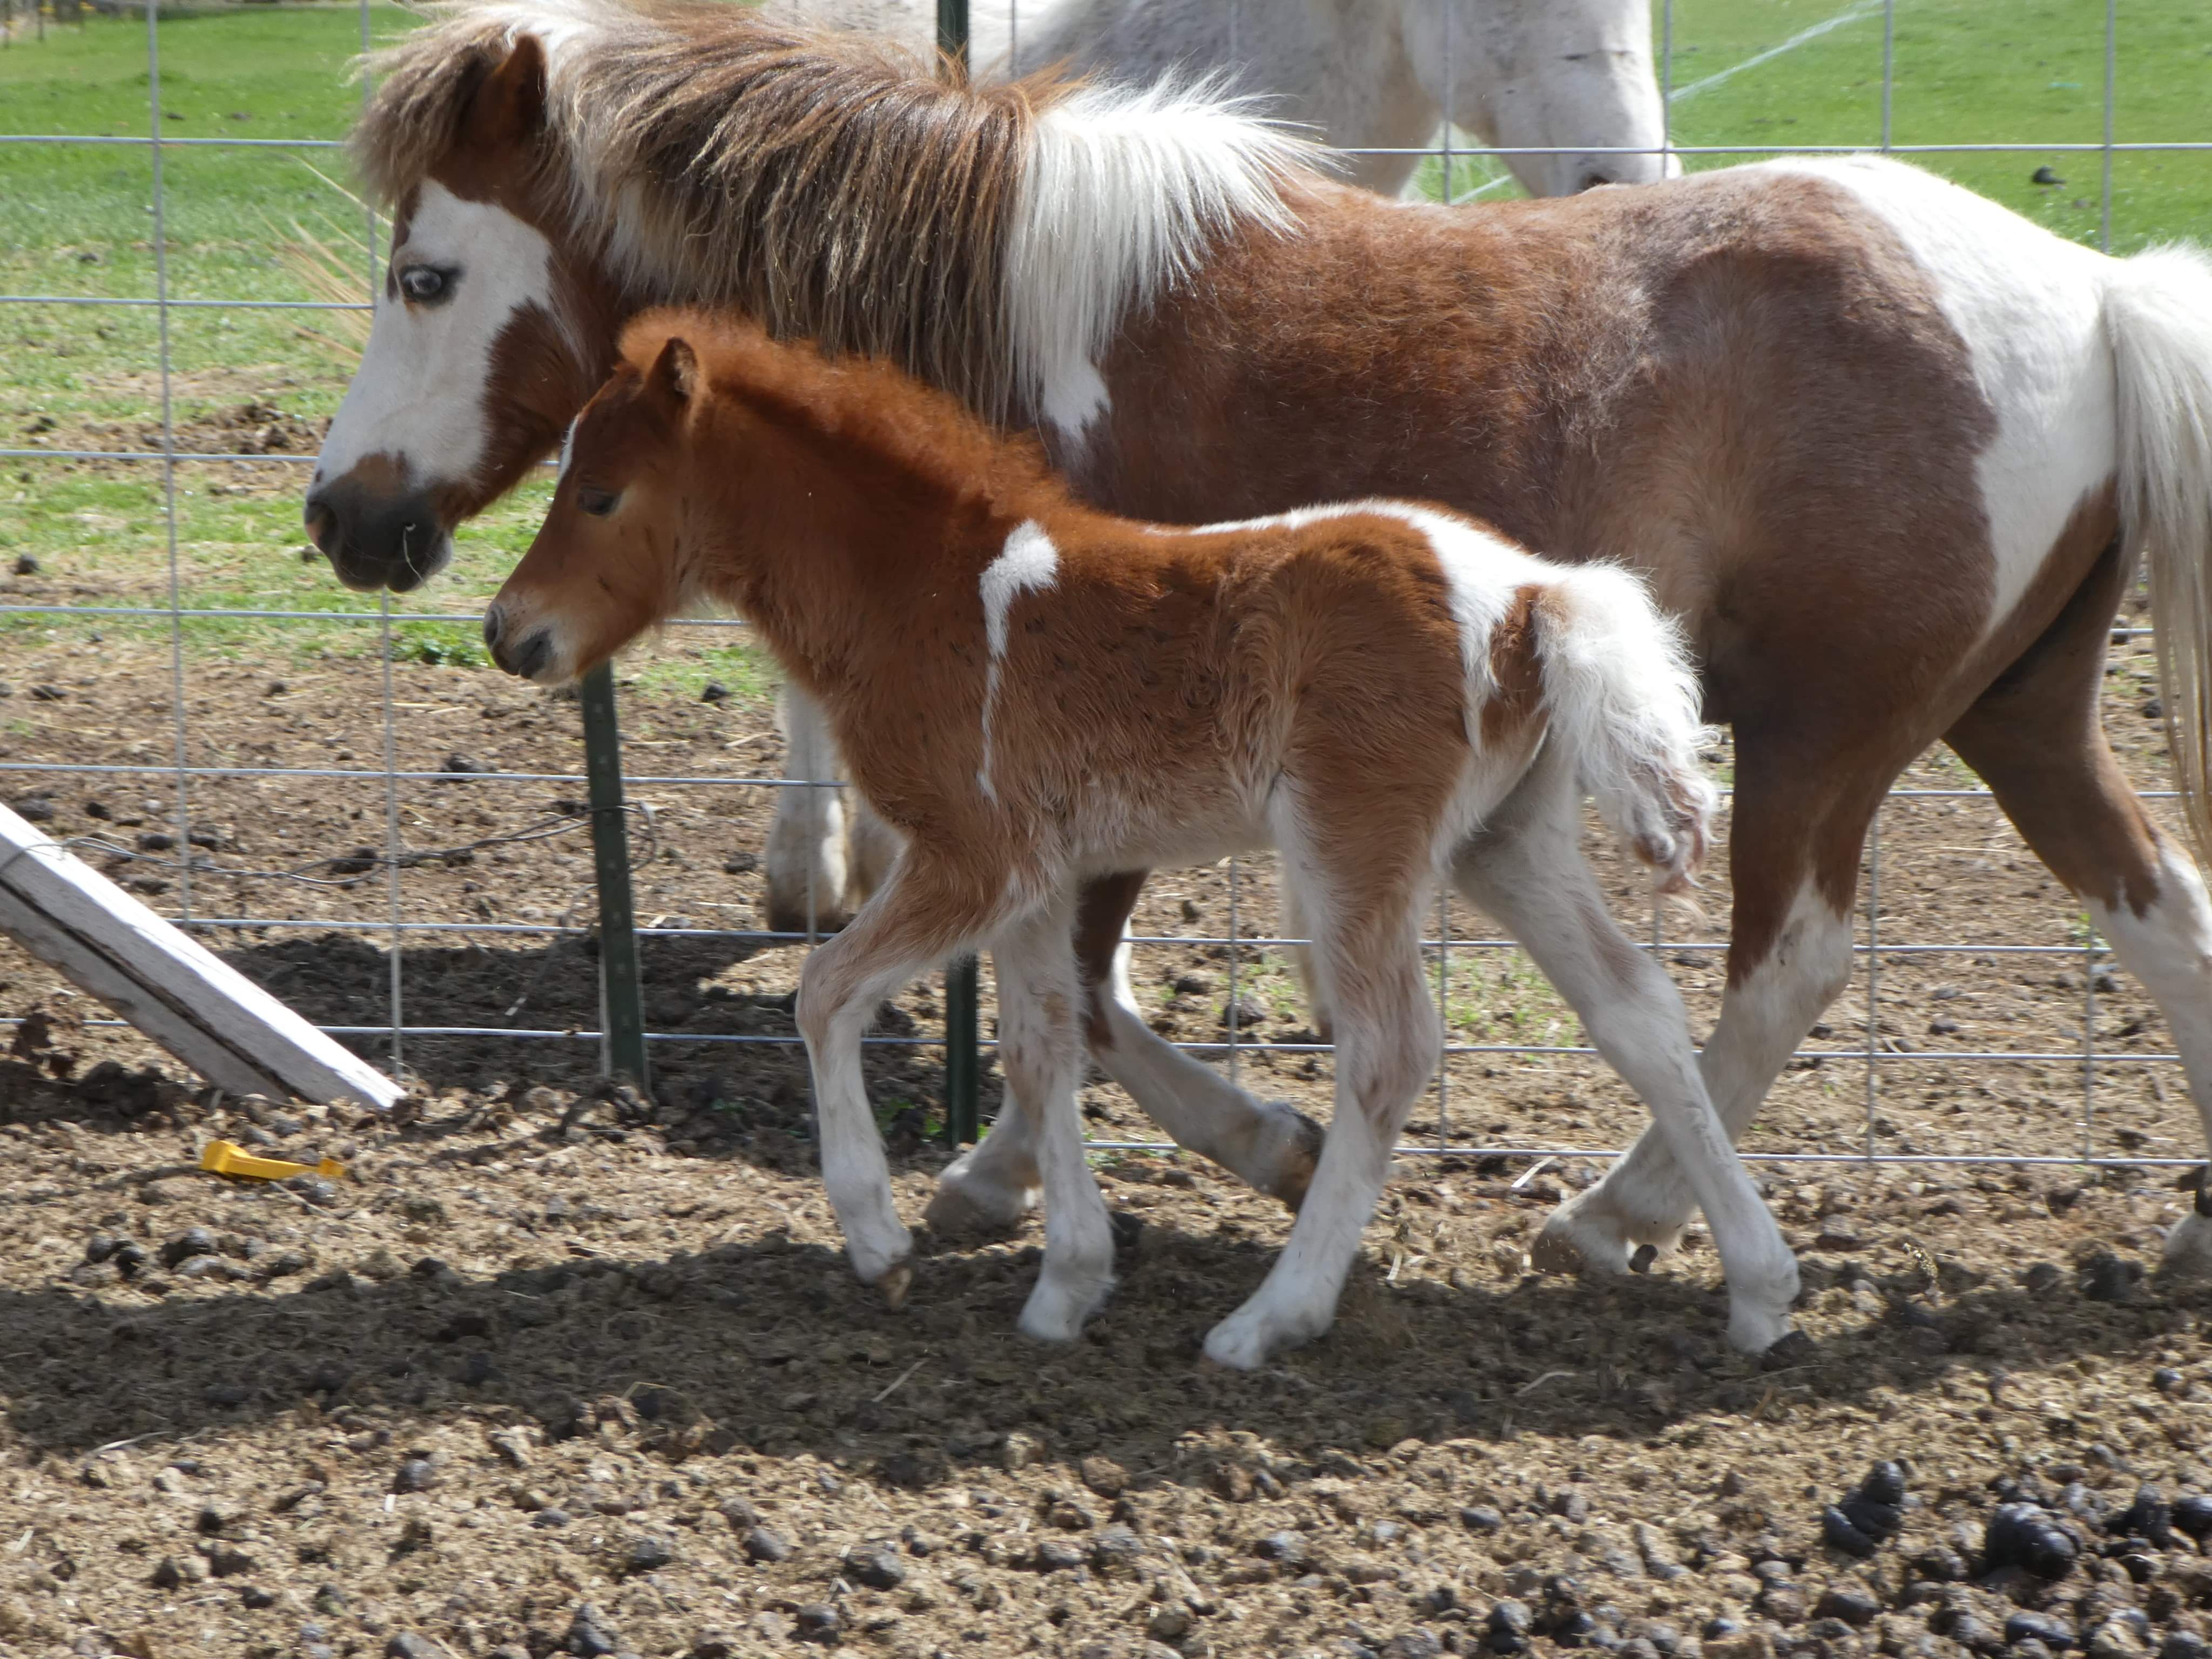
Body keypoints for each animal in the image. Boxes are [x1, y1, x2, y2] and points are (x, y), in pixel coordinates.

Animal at [482, 312, 1795, 1363]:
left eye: (598, 495)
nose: (507, 632)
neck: (923, 592)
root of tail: (1529, 595)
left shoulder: (973, 858)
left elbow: (824, 993)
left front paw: (876, 1235)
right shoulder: (1035, 879)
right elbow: (1042, 1045)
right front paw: (1066, 1284)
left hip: (1350, 845)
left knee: (1389, 1052)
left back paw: (1270, 1318)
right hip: (1502, 844)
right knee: (1635, 1010)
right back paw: (1757, 1287)